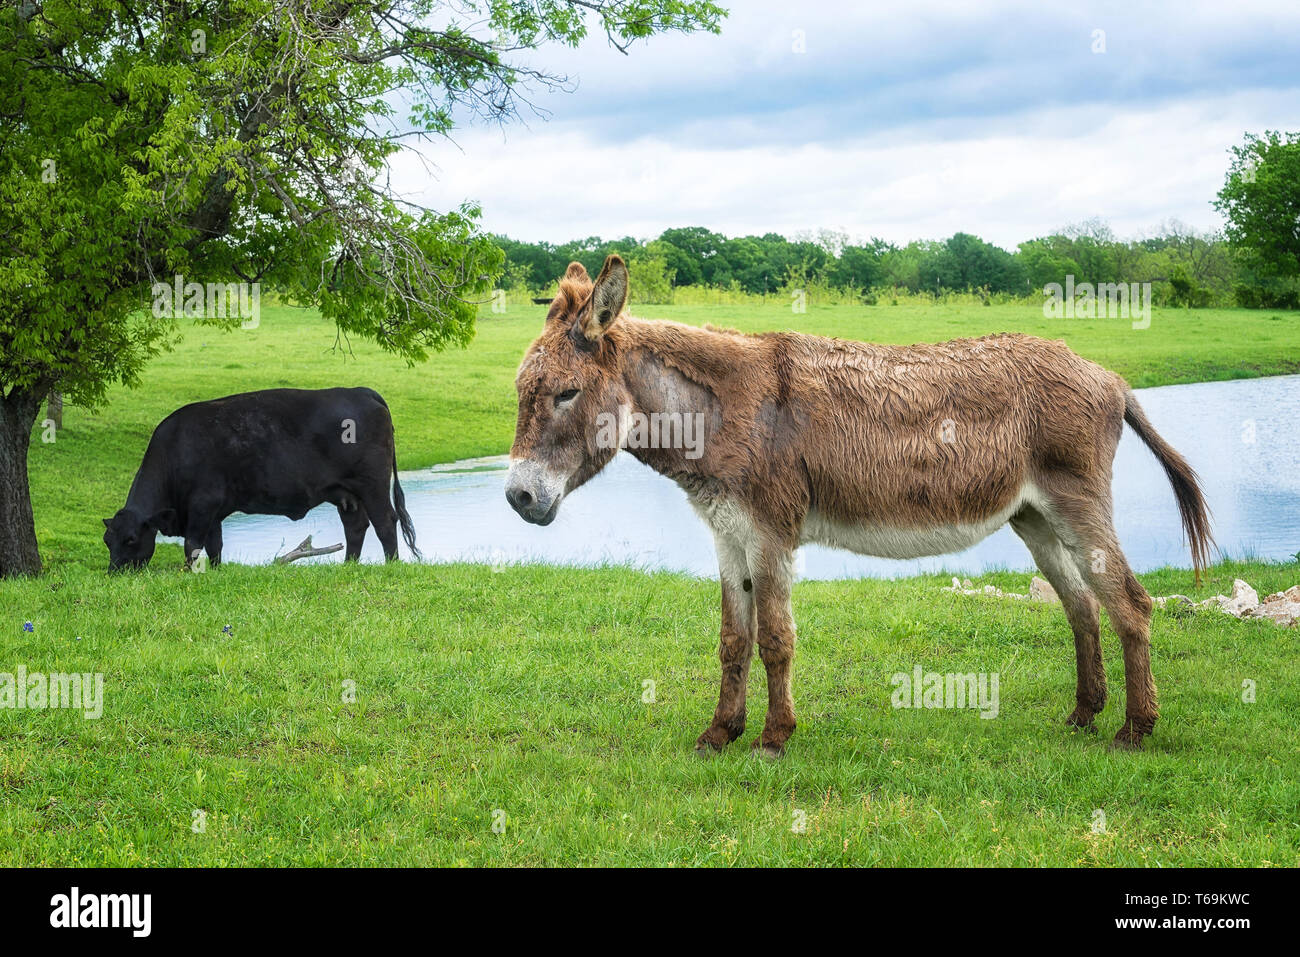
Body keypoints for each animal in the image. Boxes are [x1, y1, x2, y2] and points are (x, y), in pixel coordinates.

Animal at [103, 387, 419, 571]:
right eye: (107, 540)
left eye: (131, 539)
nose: (115, 571)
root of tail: (362, 391)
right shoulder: (213, 513)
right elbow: (214, 547)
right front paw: (215, 571)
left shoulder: (202, 506)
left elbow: (192, 545)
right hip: (347, 494)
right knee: (355, 527)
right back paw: (348, 566)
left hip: (373, 485)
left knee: (385, 522)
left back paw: (391, 565)